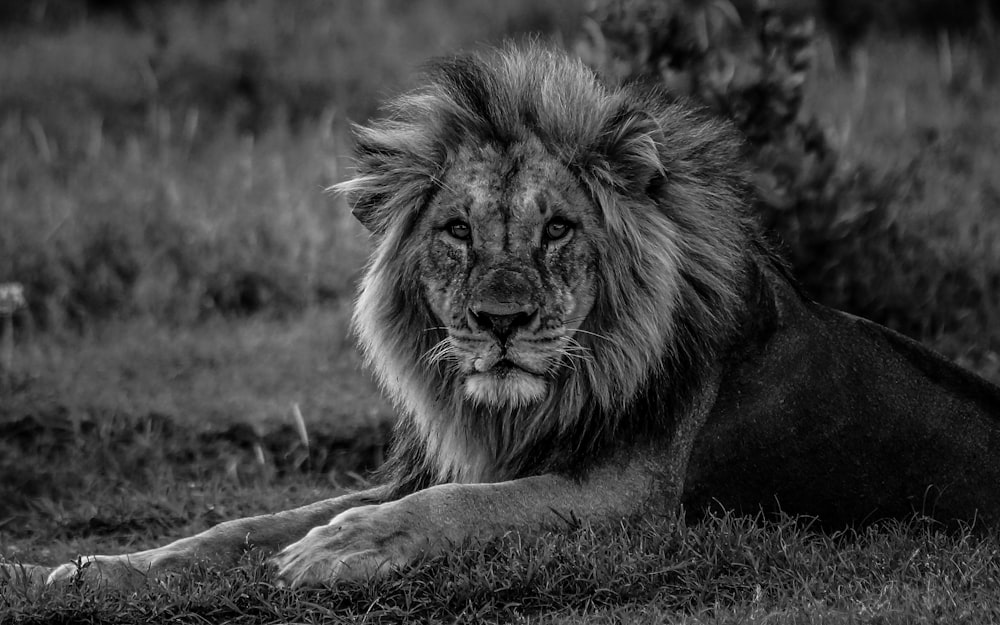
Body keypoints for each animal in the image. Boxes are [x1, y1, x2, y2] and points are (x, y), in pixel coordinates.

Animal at [11, 45, 1000, 588]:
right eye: (456, 230)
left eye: (558, 229)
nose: (499, 321)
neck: (524, 409)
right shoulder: (442, 461)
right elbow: (237, 526)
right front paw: (71, 571)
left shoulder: (633, 500)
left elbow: (471, 507)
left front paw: (342, 548)